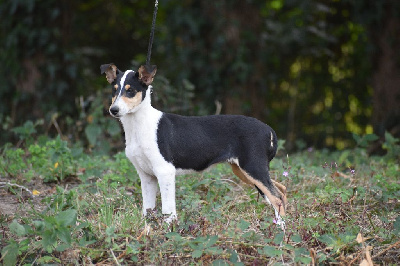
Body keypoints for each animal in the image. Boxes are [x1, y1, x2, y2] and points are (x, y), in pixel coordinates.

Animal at [101, 63, 286, 225]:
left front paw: (168, 228)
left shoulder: (165, 171)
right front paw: (147, 228)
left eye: (130, 90)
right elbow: (147, 208)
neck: (139, 125)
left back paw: (281, 232)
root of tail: (269, 129)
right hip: (244, 171)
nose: (113, 110)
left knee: (277, 198)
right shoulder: (146, 176)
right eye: (114, 90)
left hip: (253, 167)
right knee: (281, 190)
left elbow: (168, 209)